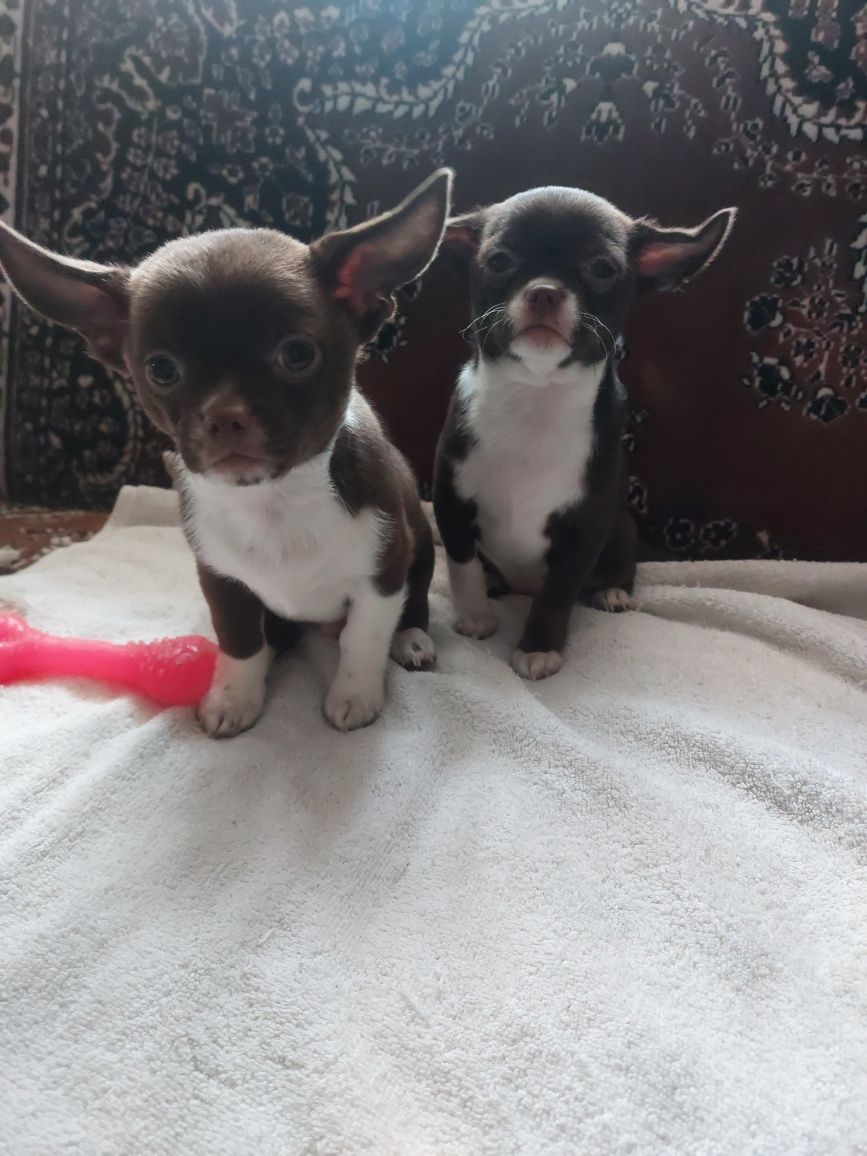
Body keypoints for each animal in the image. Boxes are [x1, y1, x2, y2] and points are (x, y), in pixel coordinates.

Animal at [0, 169, 454, 734]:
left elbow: (362, 638)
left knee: (414, 603)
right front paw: (234, 698)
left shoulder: (383, 572)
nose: (223, 416)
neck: (274, 499)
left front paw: (354, 696)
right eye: (161, 369)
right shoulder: (221, 579)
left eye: (297, 355)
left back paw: (412, 639)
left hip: (420, 550)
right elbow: (240, 641)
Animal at [433, 186, 735, 680]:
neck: (536, 397)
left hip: (623, 528)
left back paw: (612, 592)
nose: (544, 291)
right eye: (499, 261)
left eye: (603, 269)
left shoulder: (586, 527)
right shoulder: (452, 502)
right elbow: (462, 564)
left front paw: (539, 648)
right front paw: (475, 616)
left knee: (621, 568)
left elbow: (558, 594)